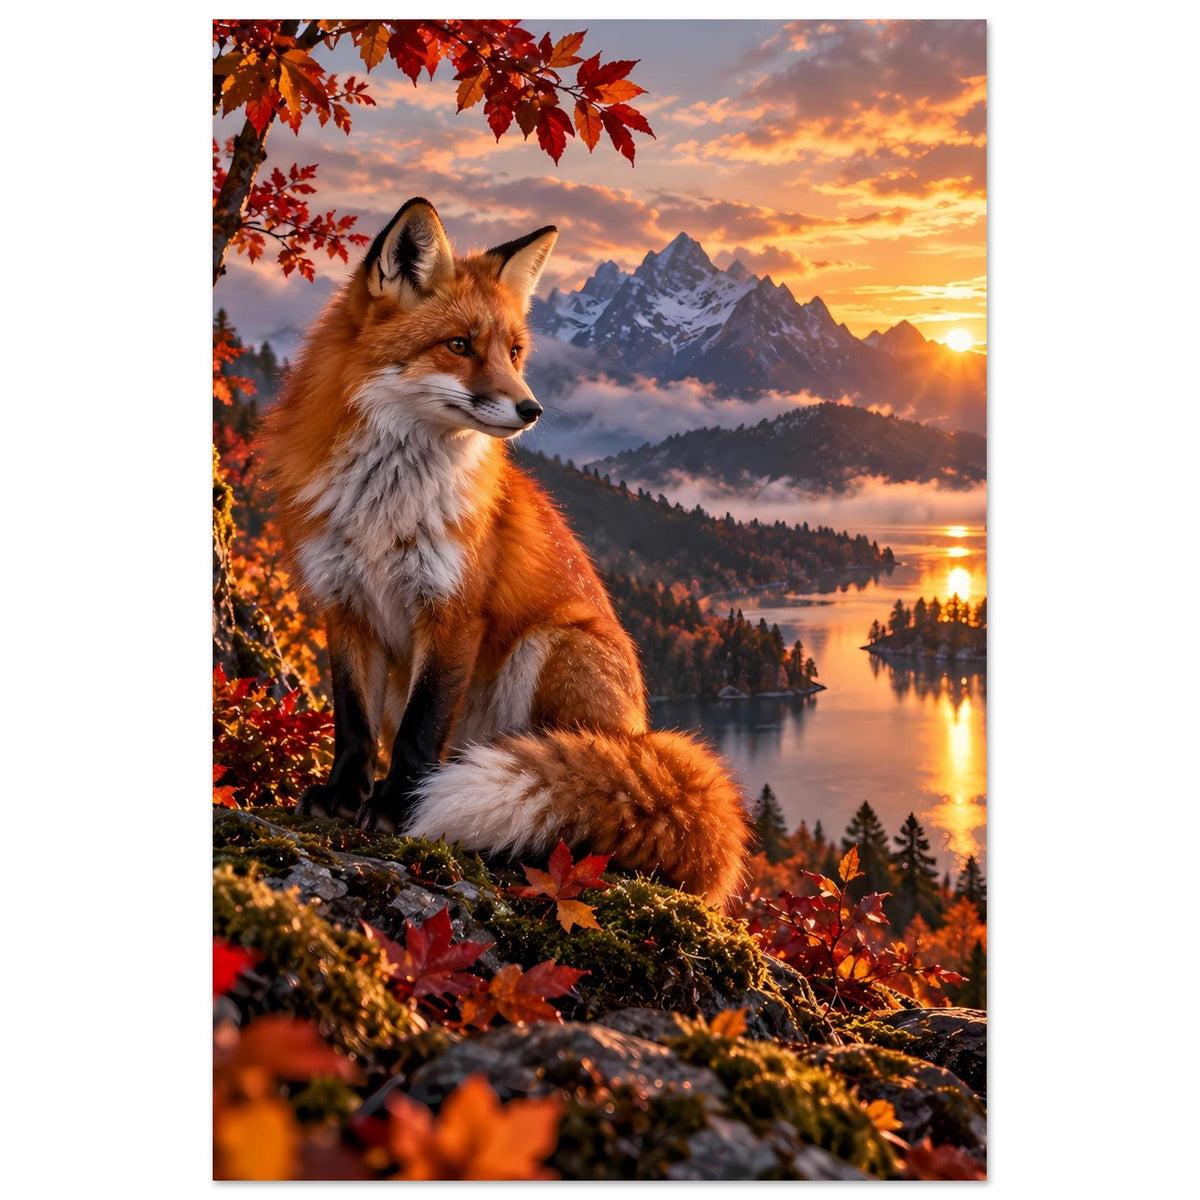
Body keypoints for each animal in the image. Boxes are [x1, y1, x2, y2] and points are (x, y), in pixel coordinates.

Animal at [264, 197, 750, 907]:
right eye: (459, 345)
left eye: (514, 351)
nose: (531, 408)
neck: (386, 506)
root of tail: (642, 735)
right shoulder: (344, 603)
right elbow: (353, 725)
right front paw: (342, 798)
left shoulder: (453, 611)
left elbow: (418, 733)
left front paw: (398, 810)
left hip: (551, 645)